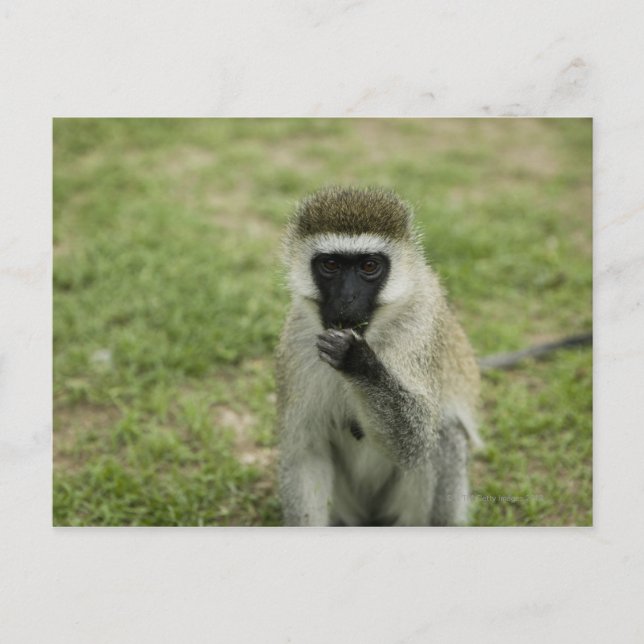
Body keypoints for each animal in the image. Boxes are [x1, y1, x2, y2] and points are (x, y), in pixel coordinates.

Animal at [276, 186, 481, 526]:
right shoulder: (298, 342)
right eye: (330, 265)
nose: (347, 299)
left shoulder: (418, 330)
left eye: (369, 267)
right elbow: (306, 453)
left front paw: (357, 360)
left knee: (444, 436)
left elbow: (415, 442)